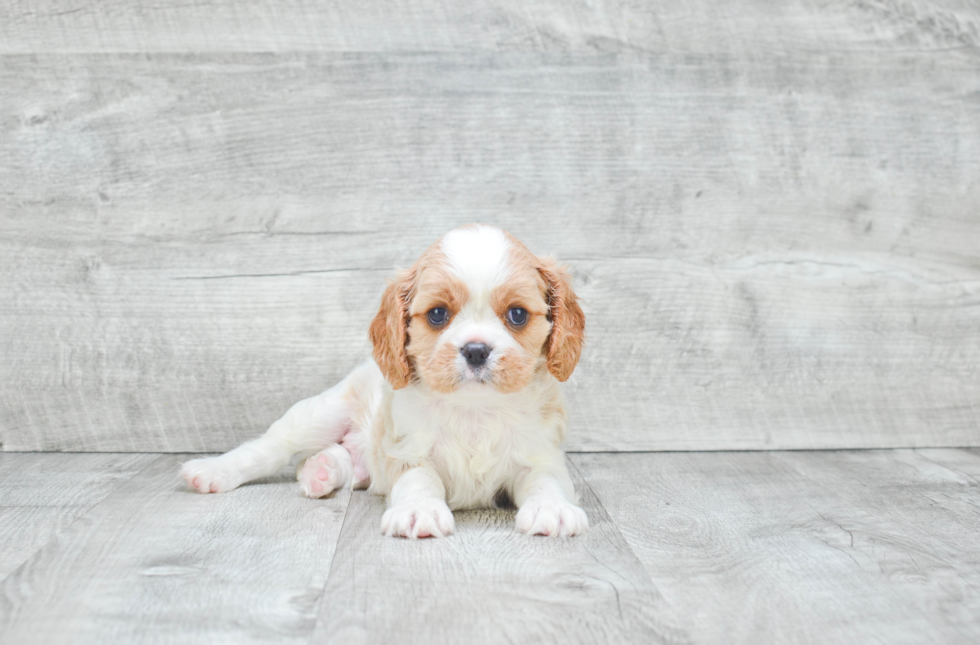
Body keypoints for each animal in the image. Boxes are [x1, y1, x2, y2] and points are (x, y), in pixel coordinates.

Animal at [180, 224, 584, 536]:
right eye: (438, 314)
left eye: (517, 315)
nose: (475, 350)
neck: (474, 410)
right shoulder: (406, 452)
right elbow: (420, 479)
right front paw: (419, 511)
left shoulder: (541, 454)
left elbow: (546, 480)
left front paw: (551, 510)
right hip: (321, 413)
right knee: (270, 448)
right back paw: (214, 471)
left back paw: (321, 470)